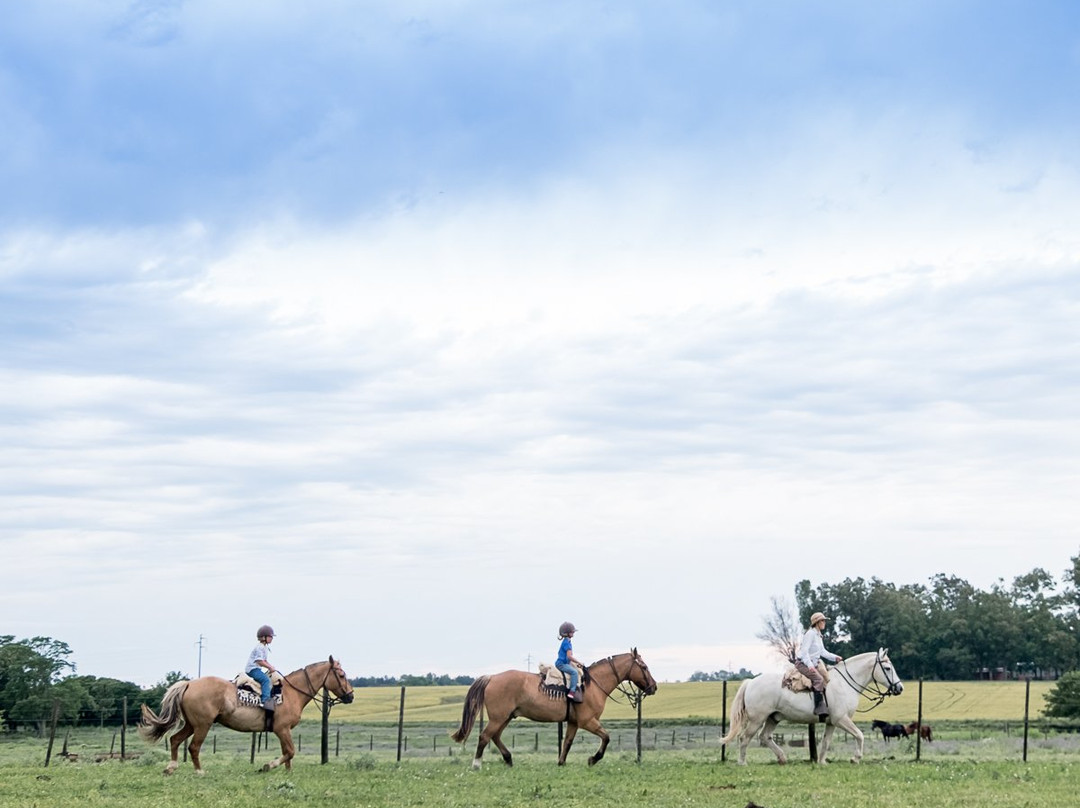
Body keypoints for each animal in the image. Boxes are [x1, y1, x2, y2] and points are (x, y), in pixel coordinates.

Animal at [137, 652, 352, 773]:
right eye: (341, 675)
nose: (350, 696)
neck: (291, 693)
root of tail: (189, 683)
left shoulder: (284, 731)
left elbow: (288, 753)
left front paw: (287, 773)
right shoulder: (282, 729)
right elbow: (290, 751)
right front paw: (268, 766)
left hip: (191, 724)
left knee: (175, 740)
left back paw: (171, 768)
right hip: (202, 725)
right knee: (193, 747)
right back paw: (199, 772)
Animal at [449, 648, 656, 769]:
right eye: (644, 667)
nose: (653, 687)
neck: (593, 684)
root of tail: (492, 677)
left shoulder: (573, 722)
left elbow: (567, 742)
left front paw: (561, 762)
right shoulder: (588, 721)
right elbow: (606, 737)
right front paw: (593, 759)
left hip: (505, 717)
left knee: (495, 736)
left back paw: (508, 759)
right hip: (498, 718)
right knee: (484, 737)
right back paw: (477, 764)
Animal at [721, 648, 907, 764]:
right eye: (887, 668)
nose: (899, 688)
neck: (844, 684)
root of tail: (751, 682)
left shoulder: (832, 723)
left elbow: (826, 742)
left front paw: (822, 761)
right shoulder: (841, 719)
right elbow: (859, 735)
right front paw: (856, 758)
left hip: (773, 718)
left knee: (765, 737)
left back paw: (782, 758)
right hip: (757, 719)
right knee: (744, 738)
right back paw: (742, 762)